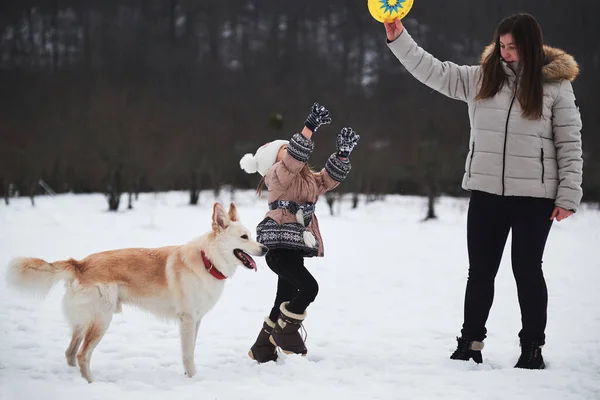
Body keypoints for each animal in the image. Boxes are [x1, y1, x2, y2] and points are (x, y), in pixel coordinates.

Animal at [5, 202, 268, 382]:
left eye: (251, 236)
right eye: (244, 237)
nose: (265, 249)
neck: (207, 260)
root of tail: (79, 264)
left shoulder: (197, 321)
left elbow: (190, 350)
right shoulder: (187, 320)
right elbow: (188, 354)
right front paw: (193, 379)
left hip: (84, 322)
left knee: (70, 353)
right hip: (101, 321)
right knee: (81, 355)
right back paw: (91, 385)